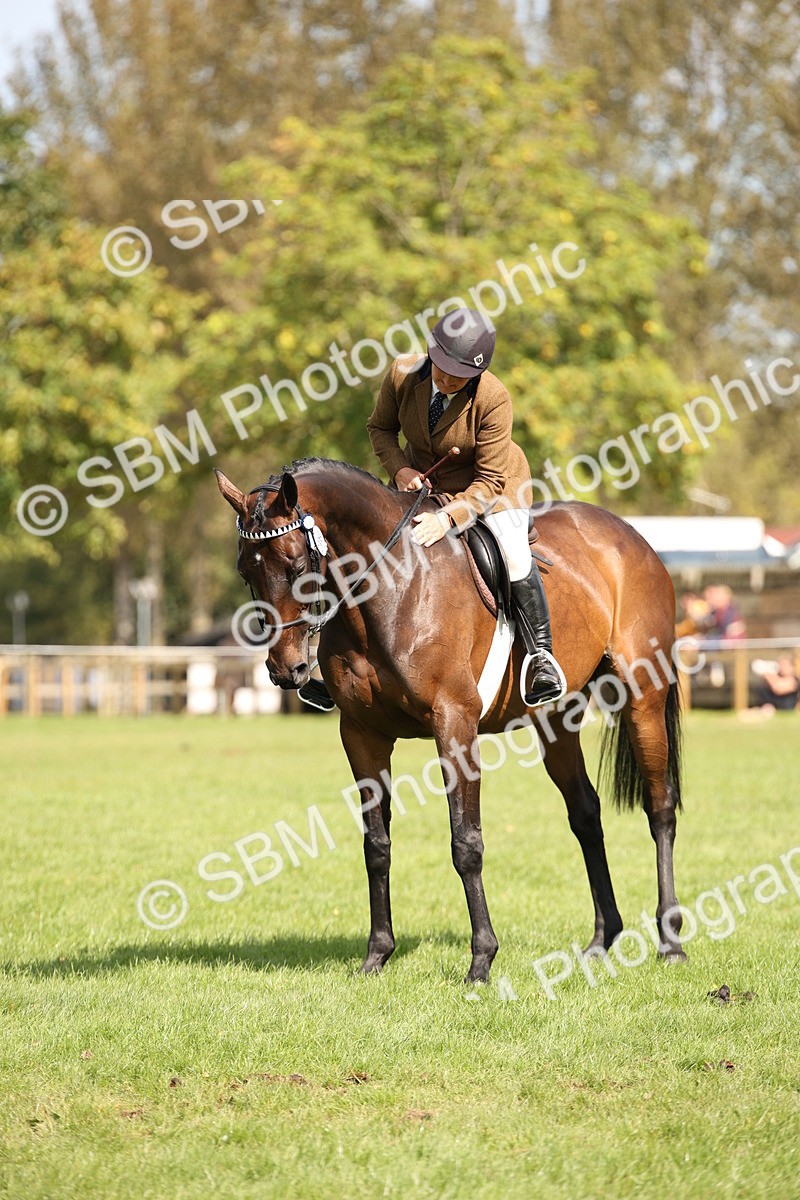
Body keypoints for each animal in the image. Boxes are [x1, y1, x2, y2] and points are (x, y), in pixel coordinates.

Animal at [215, 458, 685, 984]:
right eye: (245, 571)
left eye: (297, 567)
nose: (286, 670)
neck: (394, 588)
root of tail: (632, 537)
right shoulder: (362, 735)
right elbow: (376, 846)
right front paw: (377, 954)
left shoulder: (454, 725)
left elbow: (466, 844)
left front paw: (481, 959)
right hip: (556, 720)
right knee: (585, 814)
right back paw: (602, 941)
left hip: (642, 699)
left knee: (660, 808)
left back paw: (670, 941)